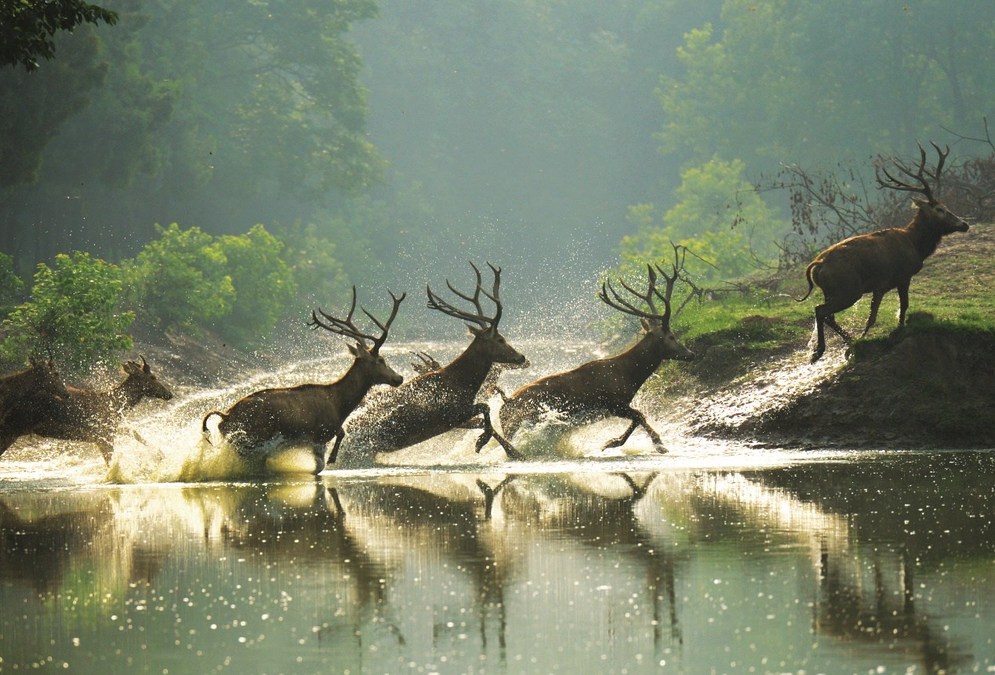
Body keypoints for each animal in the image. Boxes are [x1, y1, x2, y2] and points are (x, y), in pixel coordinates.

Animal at [29, 357, 173, 463]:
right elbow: (110, 462)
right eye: (152, 377)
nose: (169, 394)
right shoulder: (103, 435)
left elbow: (132, 431)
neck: (115, 405)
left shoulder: (108, 430)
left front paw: (161, 454)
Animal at [201, 288, 405, 473]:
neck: (339, 404)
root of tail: (225, 417)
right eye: (381, 360)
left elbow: (340, 435)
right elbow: (322, 461)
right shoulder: (320, 433)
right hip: (252, 437)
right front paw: (331, 458)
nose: (399, 378)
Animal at [343, 262, 527, 460]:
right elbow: (485, 409)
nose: (521, 357)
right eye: (500, 339)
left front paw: (513, 452)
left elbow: (486, 422)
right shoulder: (452, 413)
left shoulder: (456, 419)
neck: (465, 383)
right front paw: (483, 443)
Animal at [499, 247, 695, 454]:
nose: (691, 354)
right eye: (671, 336)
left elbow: (638, 418)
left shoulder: (615, 407)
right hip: (521, 422)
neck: (629, 375)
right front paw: (650, 444)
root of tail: (504, 406)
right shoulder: (613, 403)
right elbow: (640, 416)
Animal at [799, 142, 970, 362]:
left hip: (832, 291)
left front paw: (861, 340)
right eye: (940, 209)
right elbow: (900, 306)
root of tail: (817, 265)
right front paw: (896, 330)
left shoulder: (881, 286)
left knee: (828, 314)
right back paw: (819, 351)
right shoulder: (900, 276)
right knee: (821, 310)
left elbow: (875, 315)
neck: (916, 245)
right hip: (848, 290)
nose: (964, 224)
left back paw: (847, 342)